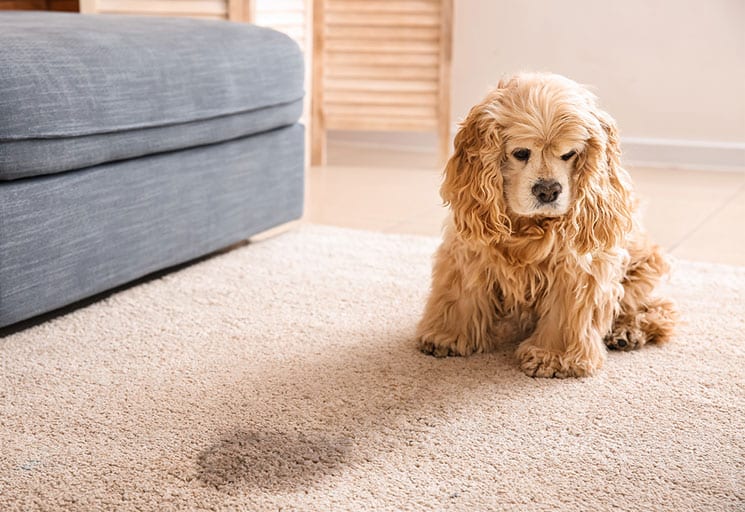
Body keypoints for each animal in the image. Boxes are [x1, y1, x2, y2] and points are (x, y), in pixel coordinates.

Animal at [416, 71, 676, 376]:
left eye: (569, 154)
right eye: (521, 152)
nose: (548, 191)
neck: (528, 226)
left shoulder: (577, 268)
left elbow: (566, 313)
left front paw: (553, 356)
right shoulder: (469, 250)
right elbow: (460, 295)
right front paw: (446, 336)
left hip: (643, 266)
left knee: (656, 308)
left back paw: (625, 332)